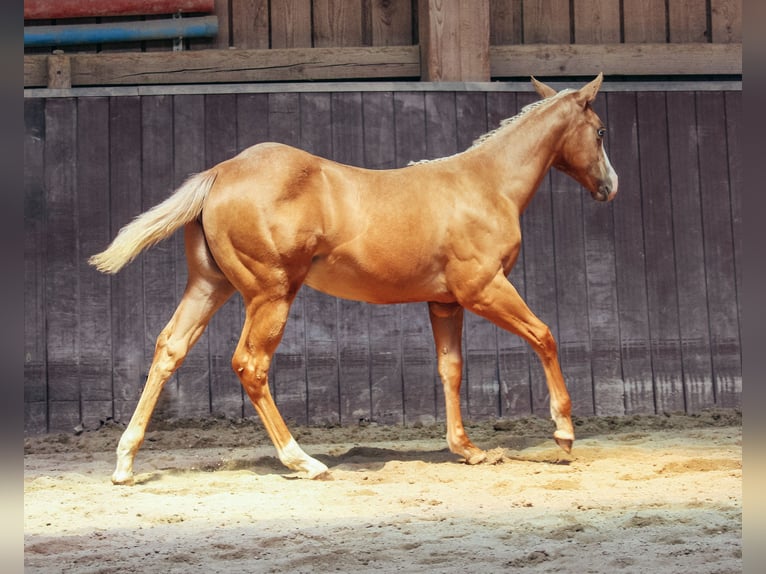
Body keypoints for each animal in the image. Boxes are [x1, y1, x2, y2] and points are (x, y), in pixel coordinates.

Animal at [90, 74, 618, 485]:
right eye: (599, 130)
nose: (610, 187)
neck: (485, 186)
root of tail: (220, 171)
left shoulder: (445, 302)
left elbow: (451, 368)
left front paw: (468, 449)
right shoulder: (484, 289)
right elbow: (544, 336)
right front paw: (564, 433)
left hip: (209, 286)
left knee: (169, 349)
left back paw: (125, 464)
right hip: (271, 293)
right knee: (250, 364)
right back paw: (303, 461)